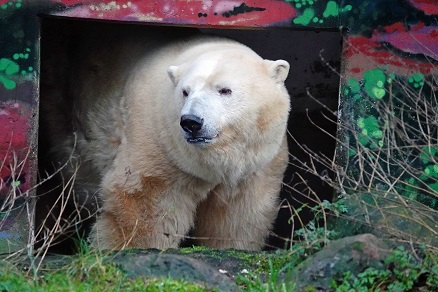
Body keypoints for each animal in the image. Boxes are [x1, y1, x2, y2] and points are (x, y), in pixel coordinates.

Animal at [42, 27, 290, 250]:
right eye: (185, 91)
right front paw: (128, 248)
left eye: (225, 90)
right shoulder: (159, 139)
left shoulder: (258, 162)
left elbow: (239, 213)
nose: (192, 122)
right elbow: (147, 201)